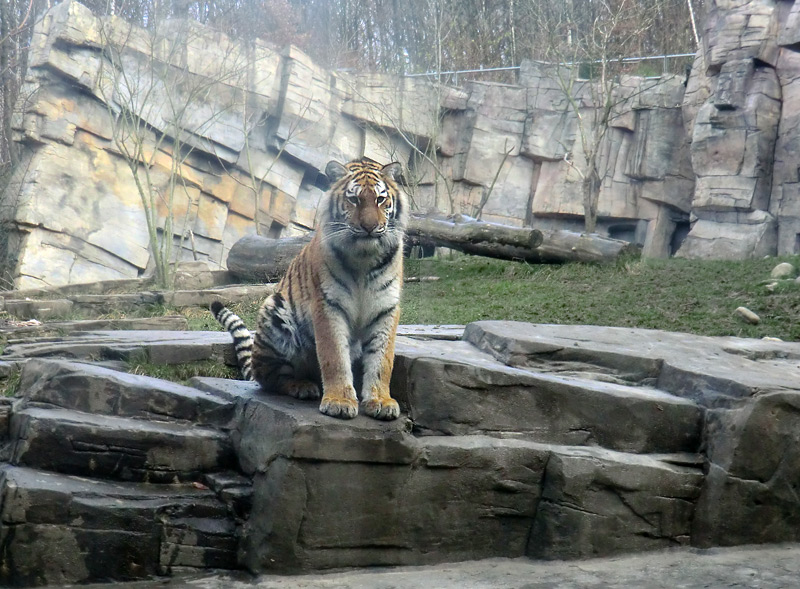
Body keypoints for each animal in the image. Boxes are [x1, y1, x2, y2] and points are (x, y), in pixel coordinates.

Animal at [211, 157, 406, 418]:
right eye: (354, 199)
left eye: (380, 199)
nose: (369, 227)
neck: (364, 257)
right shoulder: (328, 305)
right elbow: (334, 356)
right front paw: (340, 401)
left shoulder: (385, 308)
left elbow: (382, 360)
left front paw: (381, 401)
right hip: (275, 312)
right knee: (270, 378)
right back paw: (303, 386)